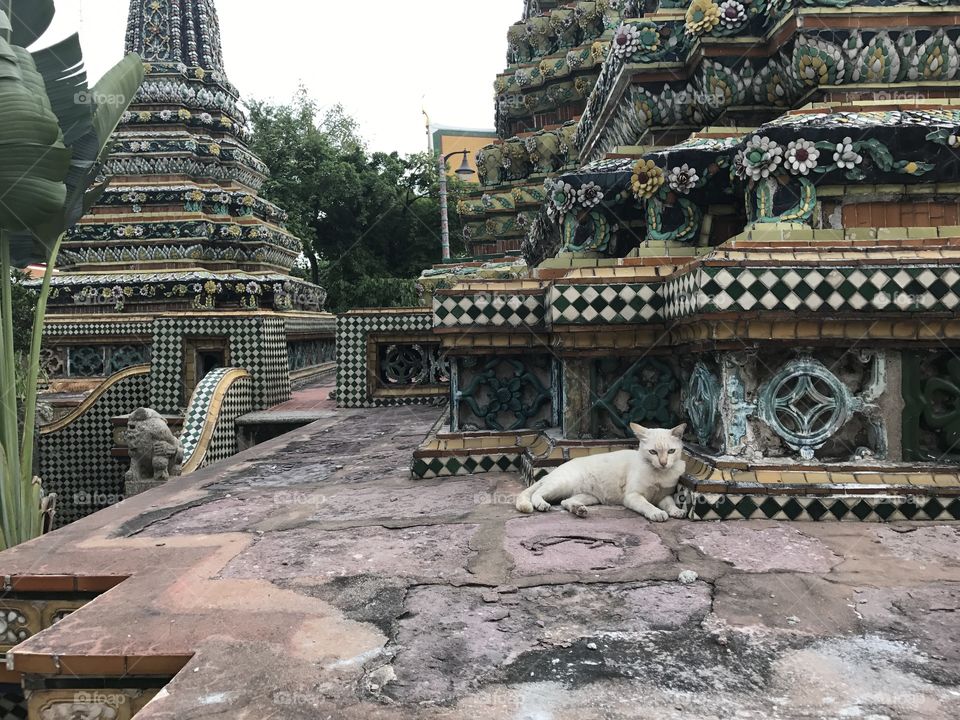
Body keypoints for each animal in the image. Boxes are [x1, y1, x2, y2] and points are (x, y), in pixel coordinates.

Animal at [516, 424, 688, 520]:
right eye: (653, 452)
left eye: (671, 451)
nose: (663, 463)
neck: (660, 474)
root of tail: (553, 472)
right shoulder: (633, 496)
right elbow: (647, 505)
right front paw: (656, 513)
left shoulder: (664, 495)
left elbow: (670, 503)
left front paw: (677, 511)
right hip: (562, 484)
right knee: (536, 494)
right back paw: (542, 504)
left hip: (589, 497)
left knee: (565, 501)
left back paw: (579, 509)